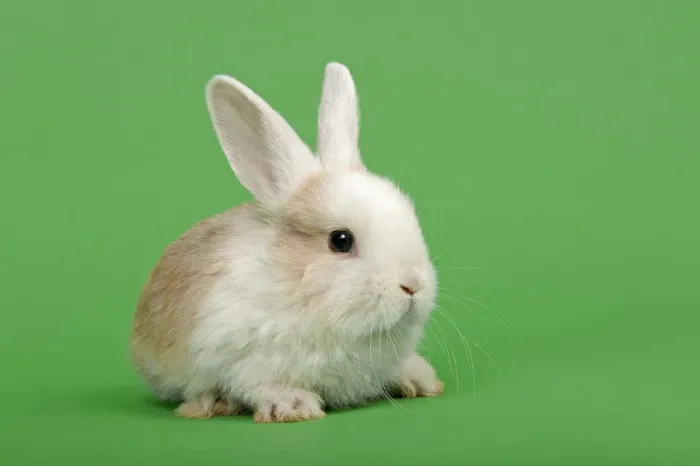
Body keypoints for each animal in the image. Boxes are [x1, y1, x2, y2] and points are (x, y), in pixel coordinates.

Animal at [130, 62, 443, 423]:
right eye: (341, 240)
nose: (413, 286)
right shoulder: (240, 354)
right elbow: (261, 383)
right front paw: (293, 406)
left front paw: (420, 379)